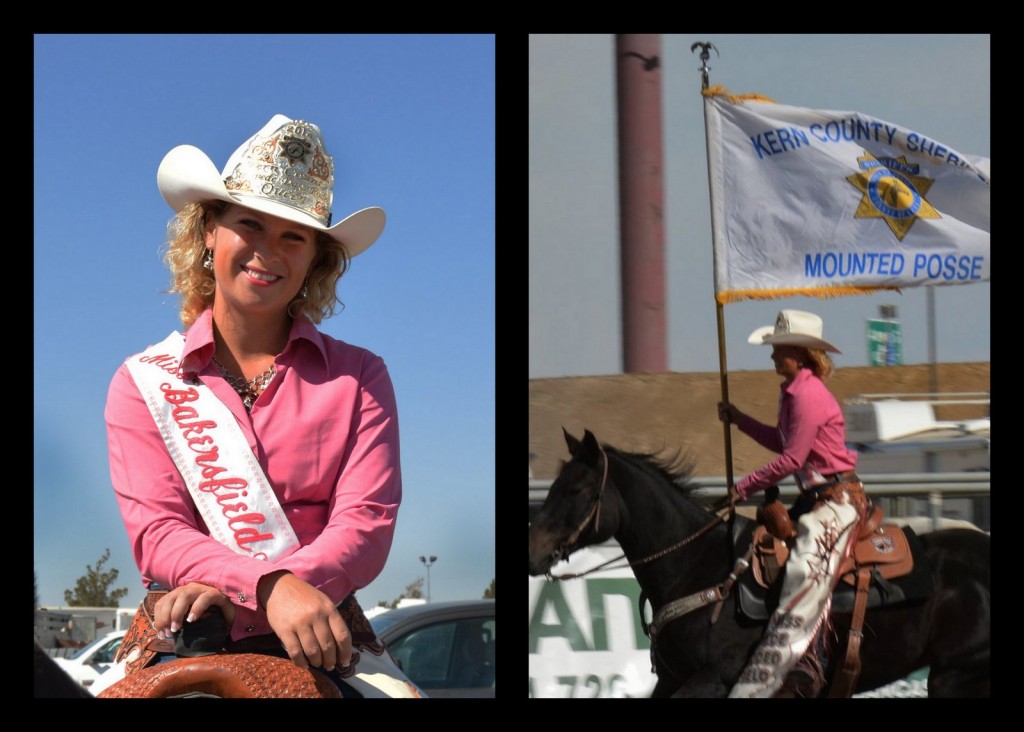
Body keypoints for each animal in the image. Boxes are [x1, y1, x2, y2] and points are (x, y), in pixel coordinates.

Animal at [532, 429, 987, 700]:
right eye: (554, 486)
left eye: (575, 489)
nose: (532, 549)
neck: (698, 567)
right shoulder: (671, 678)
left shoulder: (716, 678)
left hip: (956, 675)